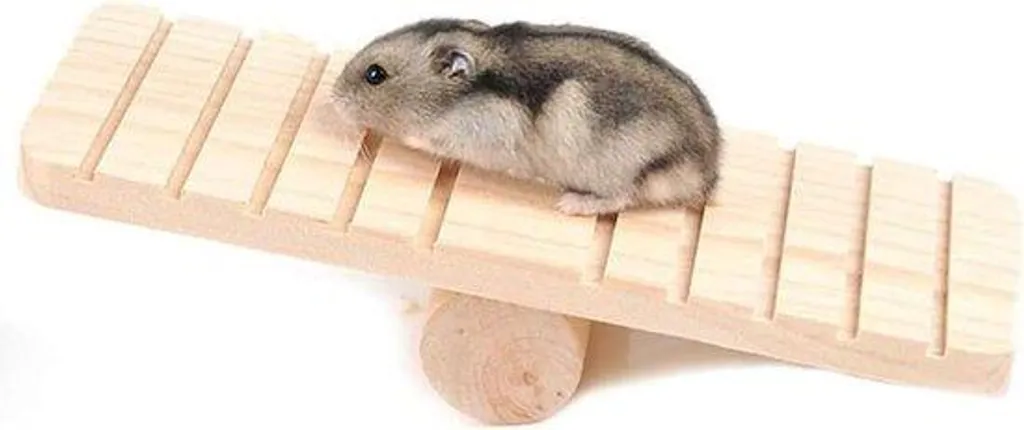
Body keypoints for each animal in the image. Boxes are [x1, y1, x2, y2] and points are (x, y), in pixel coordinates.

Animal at [330, 18, 722, 216]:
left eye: (375, 75)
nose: (332, 98)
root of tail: (707, 175)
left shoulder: (480, 135)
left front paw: (410, 137)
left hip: (626, 168)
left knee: (623, 197)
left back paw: (569, 204)